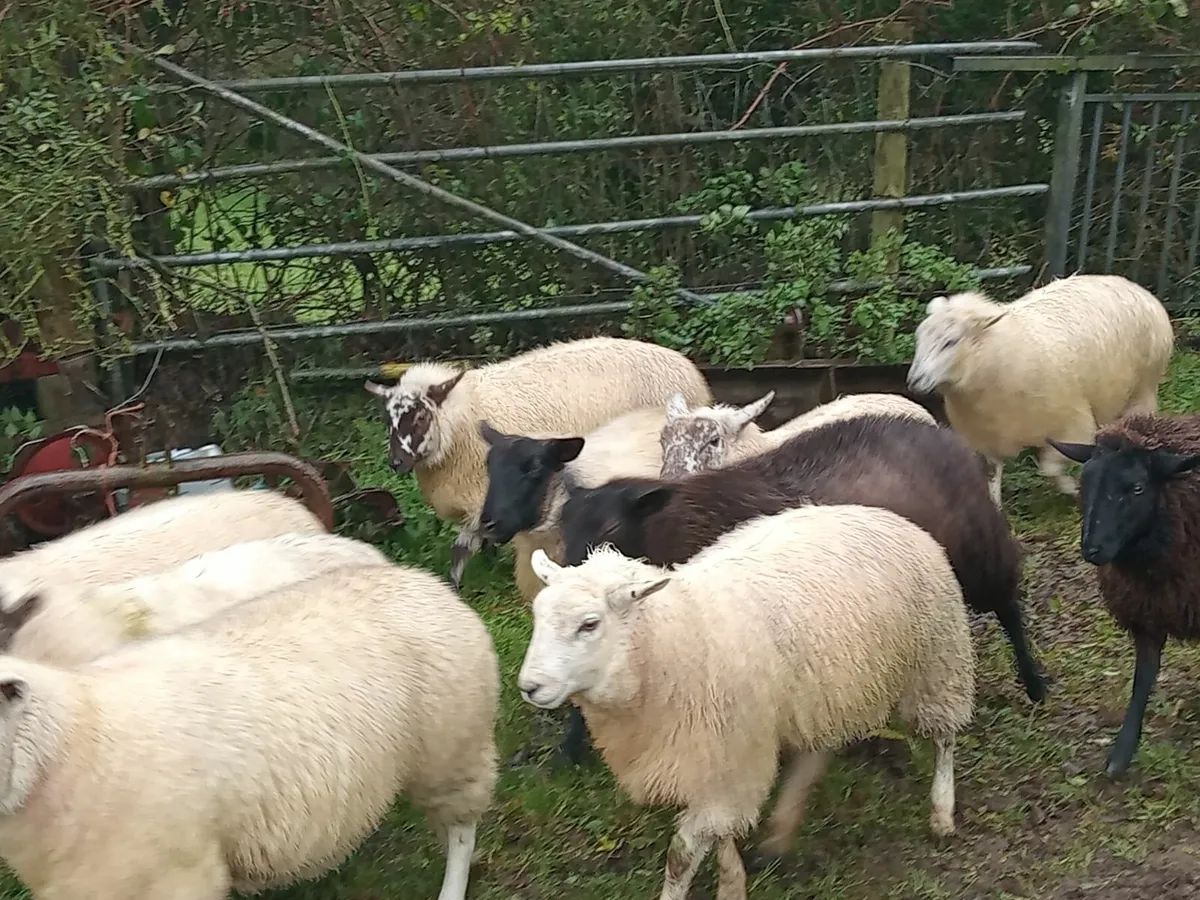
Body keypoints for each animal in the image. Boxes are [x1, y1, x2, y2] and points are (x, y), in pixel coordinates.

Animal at [364, 337, 712, 591]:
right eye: (387, 419)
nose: (395, 462)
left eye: (421, 417)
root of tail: (686, 365)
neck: (461, 417)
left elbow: (462, 549)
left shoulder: (483, 499)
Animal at [518, 503, 975, 900]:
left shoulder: (727, 756)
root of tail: (883, 514)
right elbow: (719, 834)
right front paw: (733, 882)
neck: (672, 638)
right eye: (539, 615)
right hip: (825, 691)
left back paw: (942, 812)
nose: (529, 687)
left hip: (936, 662)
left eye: (589, 624)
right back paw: (782, 829)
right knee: (817, 751)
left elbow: (681, 856)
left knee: (945, 738)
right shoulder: (719, 762)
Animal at [906, 274, 1174, 507]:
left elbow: (1049, 468)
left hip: (1143, 388)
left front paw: (1073, 489)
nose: (913, 380)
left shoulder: (1071, 424)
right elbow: (992, 476)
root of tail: (1130, 284)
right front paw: (995, 507)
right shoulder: (988, 437)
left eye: (950, 342)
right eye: (919, 338)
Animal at [1049, 413, 1200, 776]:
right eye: (1086, 482)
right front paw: (1121, 754)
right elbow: (1142, 678)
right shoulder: (1147, 612)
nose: (1092, 549)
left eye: (1137, 488)